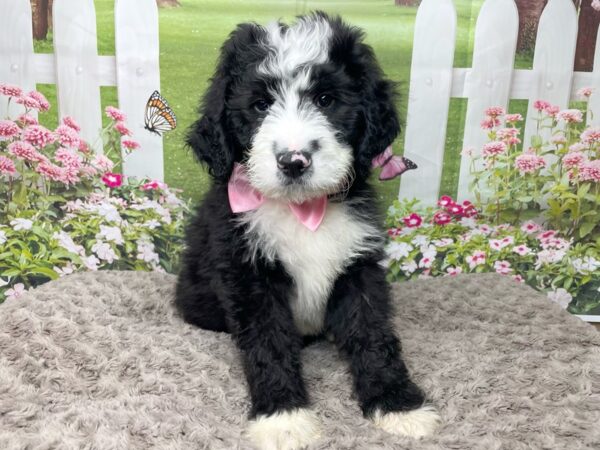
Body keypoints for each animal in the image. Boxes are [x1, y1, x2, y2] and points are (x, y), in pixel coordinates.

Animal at [176, 11, 438, 450]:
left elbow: (373, 335)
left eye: (326, 100)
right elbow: (268, 343)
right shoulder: (249, 275)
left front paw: (397, 404)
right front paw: (284, 418)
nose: (294, 160)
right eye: (261, 105)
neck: (303, 210)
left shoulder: (358, 264)